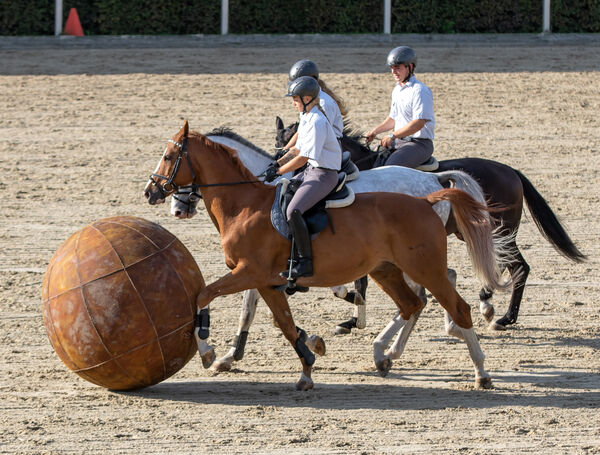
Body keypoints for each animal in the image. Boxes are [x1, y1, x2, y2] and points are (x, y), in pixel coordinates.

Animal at [144, 121, 510, 392]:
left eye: (169, 155)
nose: (152, 193)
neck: (245, 203)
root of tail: (429, 193)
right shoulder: (264, 280)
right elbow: (280, 322)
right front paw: (305, 360)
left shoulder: (249, 273)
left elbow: (206, 296)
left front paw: (210, 353)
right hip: (387, 269)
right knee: (413, 302)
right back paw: (385, 353)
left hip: (422, 267)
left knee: (454, 304)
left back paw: (480, 370)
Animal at [276, 117, 584, 332]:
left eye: (295, 145)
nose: (284, 175)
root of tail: (511, 171)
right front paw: (354, 319)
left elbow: (360, 281)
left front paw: (355, 313)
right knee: (509, 265)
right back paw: (490, 305)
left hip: (499, 233)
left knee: (518, 267)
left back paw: (501, 315)